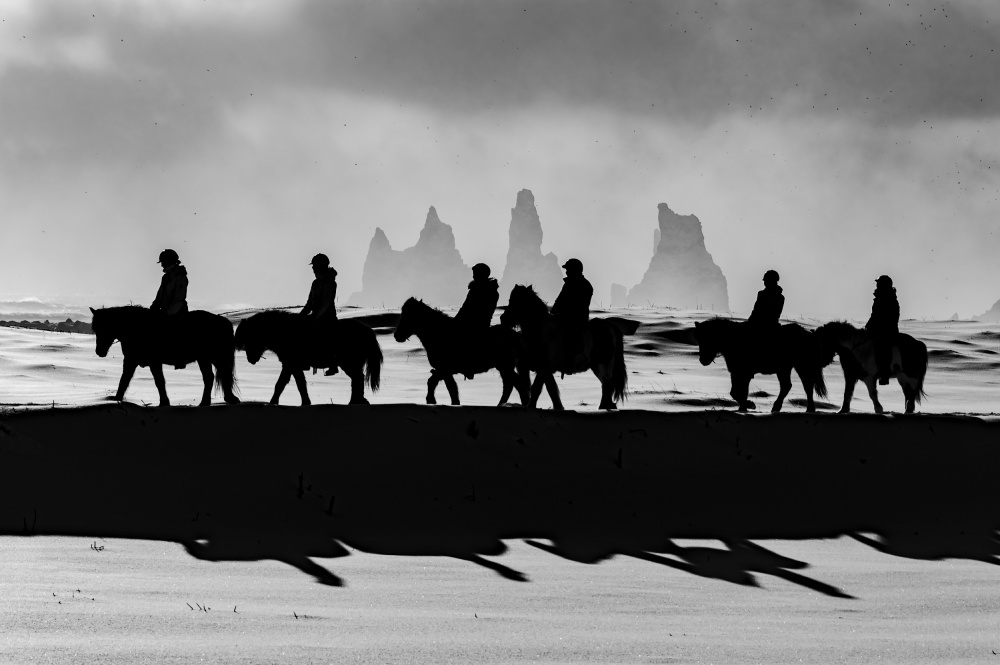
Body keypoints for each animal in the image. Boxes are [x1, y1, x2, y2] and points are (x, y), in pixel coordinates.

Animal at [88, 304, 240, 408]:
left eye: (105, 327)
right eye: (95, 328)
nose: (99, 352)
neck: (137, 327)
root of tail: (221, 320)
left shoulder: (153, 362)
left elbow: (159, 381)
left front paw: (164, 402)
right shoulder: (131, 361)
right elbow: (124, 380)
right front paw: (116, 398)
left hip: (207, 358)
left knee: (212, 377)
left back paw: (206, 402)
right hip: (210, 358)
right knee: (219, 376)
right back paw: (222, 399)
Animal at [234, 310, 382, 404]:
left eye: (250, 337)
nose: (250, 359)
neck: (284, 331)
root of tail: (368, 331)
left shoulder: (290, 364)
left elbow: (285, 384)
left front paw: (274, 402)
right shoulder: (291, 366)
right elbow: (295, 383)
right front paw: (304, 402)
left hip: (349, 363)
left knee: (357, 378)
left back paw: (355, 401)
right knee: (357, 379)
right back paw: (358, 400)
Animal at [392, 296, 532, 404]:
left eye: (409, 316)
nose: (397, 336)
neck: (439, 334)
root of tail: (517, 336)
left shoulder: (444, 369)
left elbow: (450, 389)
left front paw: (436, 401)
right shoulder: (443, 370)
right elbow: (435, 383)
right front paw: (432, 400)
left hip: (505, 366)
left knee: (516, 385)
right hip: (504, 368)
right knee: (511, 385)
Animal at [696, 316, 828, 410]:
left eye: (709, 338)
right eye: (699, 339)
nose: (703, 360)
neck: (734, 340)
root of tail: (809, 335)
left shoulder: (743, 373)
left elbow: (738, 392)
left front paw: (749, 404)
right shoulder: (737, 372)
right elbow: (737, 391)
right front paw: (744, 406)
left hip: (800, 366)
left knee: (804, 386)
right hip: (786, 368)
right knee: (792, 386)